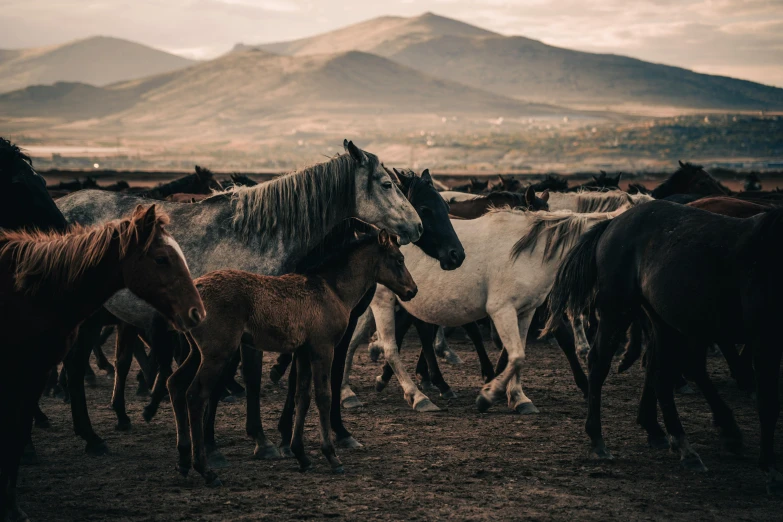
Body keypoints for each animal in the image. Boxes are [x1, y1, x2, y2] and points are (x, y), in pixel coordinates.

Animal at [56, 140, 422, 452]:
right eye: (386, 184)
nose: (418, 226)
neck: (256, 234)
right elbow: (249, 378)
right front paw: (258, 439)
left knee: (77, 365)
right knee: (75, 366)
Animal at [168, 228, 420, 484]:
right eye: (399, 259)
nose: (413, 290)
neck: (331, 289)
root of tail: (196, 287)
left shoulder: (302, 352)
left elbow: (302, 397)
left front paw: (301, 455)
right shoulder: (323, 348)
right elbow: (323, 396)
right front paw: (331, 456)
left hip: (196, 353)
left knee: (175, 384)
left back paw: (183, 462)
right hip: (217, 353)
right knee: (196, 395)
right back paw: (205, 470)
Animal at [342, 205, 632, 412]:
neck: (530, 251)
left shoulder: (525, 312)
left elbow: (518, 354)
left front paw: (518, 398)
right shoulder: (501, 310)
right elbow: (517, 356)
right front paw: (488, 396)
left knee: (352, 340)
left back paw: (346, 392)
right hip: (383, 302)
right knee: (390, 348)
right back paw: (419, 397)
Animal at [548, 199, 783, 492]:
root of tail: (614, 223)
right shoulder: (765, 338)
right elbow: (768, 402)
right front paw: (770, 468)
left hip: (663, 321)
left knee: (661, 372)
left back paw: (684, 445)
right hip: (618, 309)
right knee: (601, 362)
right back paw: (598, 439)